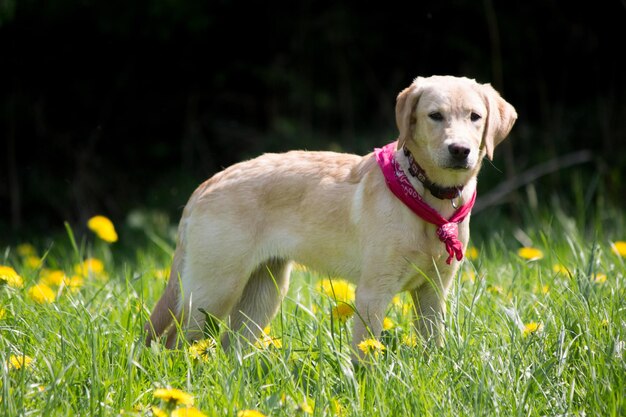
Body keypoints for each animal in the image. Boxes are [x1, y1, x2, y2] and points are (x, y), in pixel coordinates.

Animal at [146, 74, 516, 358]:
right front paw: (365, 387)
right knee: (172, 342)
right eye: (435, 116)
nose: (460, 150)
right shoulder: (373, 291)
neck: (426, 194)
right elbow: (365, 354)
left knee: (228, 347)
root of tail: (205, 185)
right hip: (214, 292)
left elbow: (434, 346)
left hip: (263, 292)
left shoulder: (434, 291)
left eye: (474, 116)